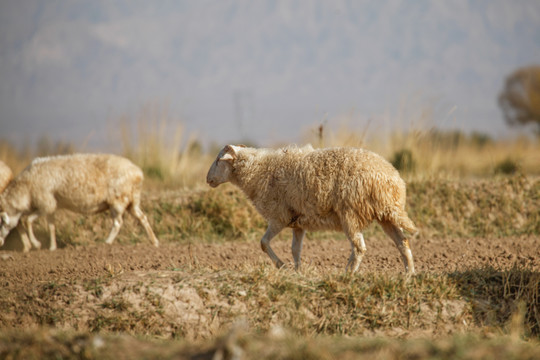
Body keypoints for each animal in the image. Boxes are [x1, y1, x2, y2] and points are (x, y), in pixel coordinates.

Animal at [0, 153, 159, 252]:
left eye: (1, 221)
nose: (0, 242)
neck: (25, 189)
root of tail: (138, 173)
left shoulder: (45, 202)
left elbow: (27, 220)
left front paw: (37, 244)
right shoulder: (51, 206)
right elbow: (51, 226)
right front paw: (52, 247)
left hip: (118, 200)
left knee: (118, 222)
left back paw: (106, 242)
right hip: (132, 200)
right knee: (142, 217)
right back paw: (154, 241)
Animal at [207, 145, 418, 274]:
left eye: (218, 160)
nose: (208, 180)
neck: (258, 171)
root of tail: (393, 182)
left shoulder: (279, 218)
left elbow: (263, 243)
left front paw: (281, 266)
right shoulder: (297, 223)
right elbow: (295, 250)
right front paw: (297, 272)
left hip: (351, 213)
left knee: (359, 248)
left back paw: (348, 275)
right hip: (385, 215)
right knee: (402, 242)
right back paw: (409, 275)